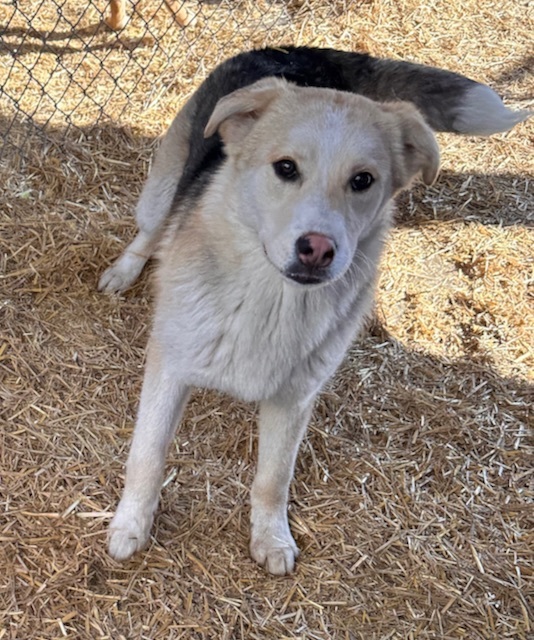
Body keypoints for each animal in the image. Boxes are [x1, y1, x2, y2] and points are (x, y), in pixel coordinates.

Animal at [99, 46, 528, 576]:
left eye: (363, 180)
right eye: (285, 168)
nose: (318, 250)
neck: (271, 299)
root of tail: (298, 50)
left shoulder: (294, 400)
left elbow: (273, 479)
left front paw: (271, 538)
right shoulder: (169, 372)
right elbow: (148, 456)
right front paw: (130, 527)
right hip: (160, 191)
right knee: (148, 233)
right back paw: (123, 271)